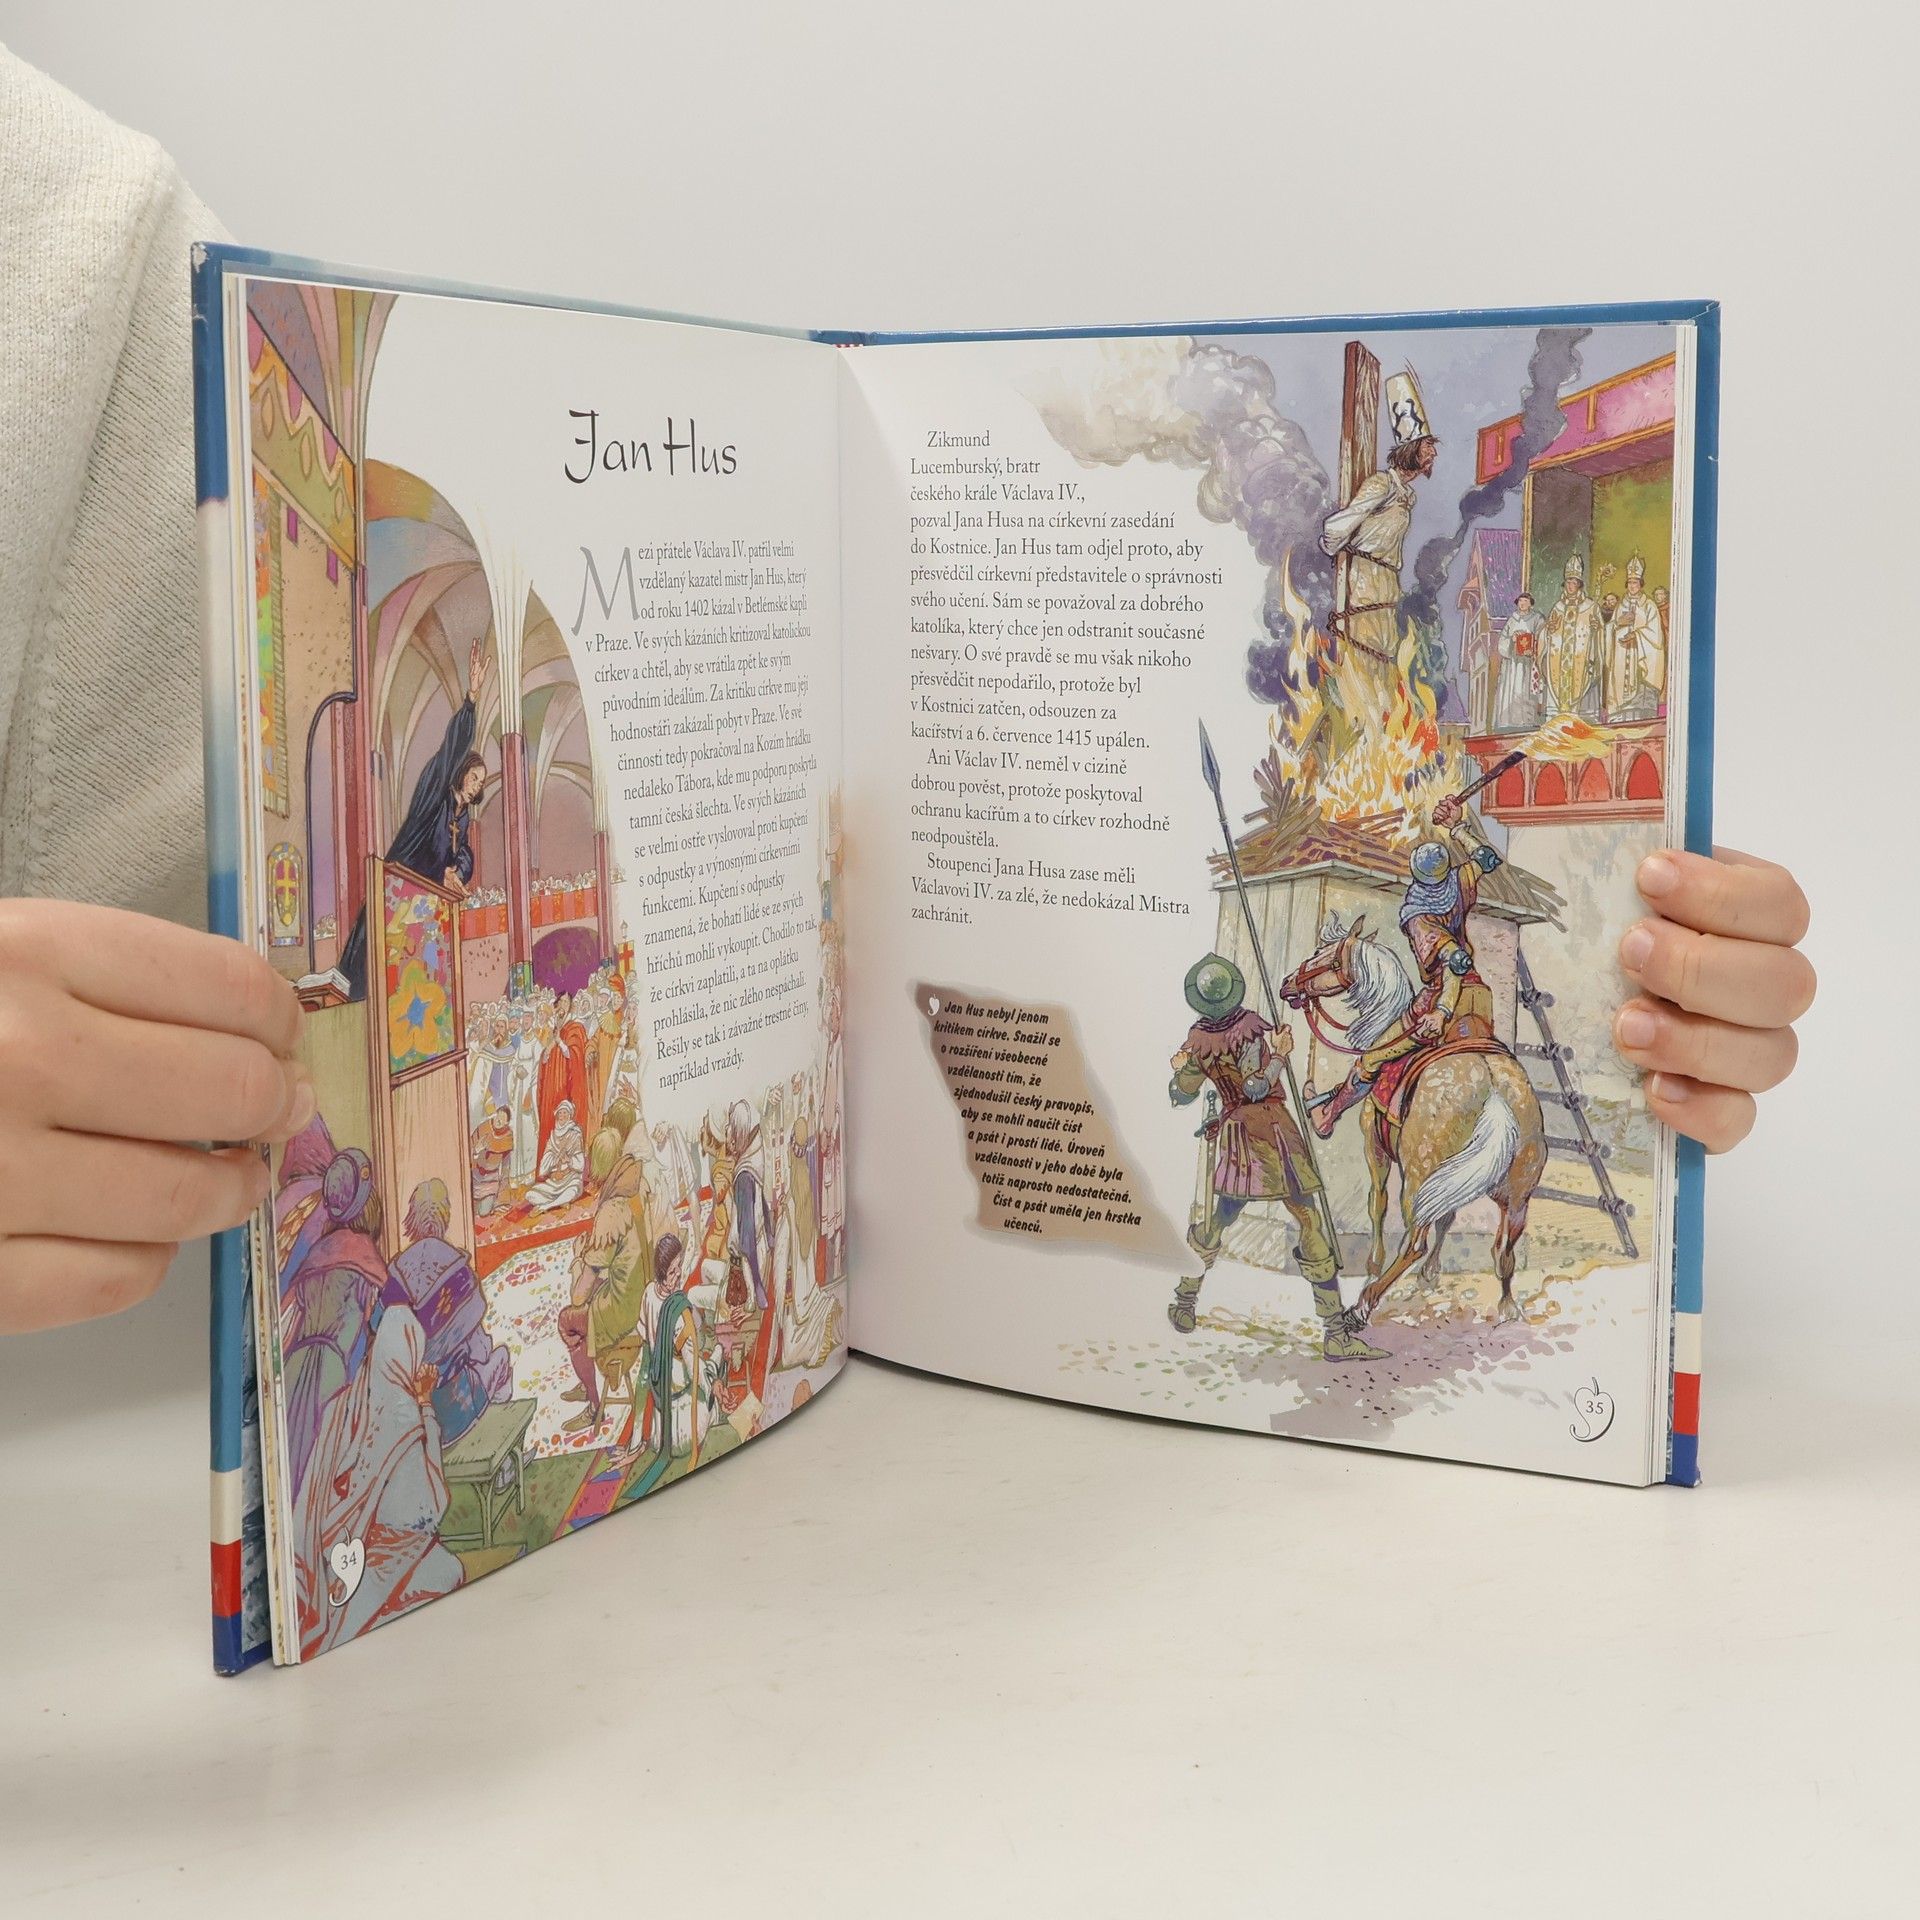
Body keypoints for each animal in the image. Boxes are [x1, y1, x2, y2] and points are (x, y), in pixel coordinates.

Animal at [1278, 912, 1546, 1331]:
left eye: (1322, 955)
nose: (1288, 983)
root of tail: (1494, 1089)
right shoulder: (1456, 1172)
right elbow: (1448, 1213)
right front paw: (1431, 1274)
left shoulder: (1375, 1148)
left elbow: (1377, 1203)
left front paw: (1373, 1266)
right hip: (1516, 1191)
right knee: (1505, 1247)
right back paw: (1506, 1306)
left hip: (1419, 1174)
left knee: (1414, 1238)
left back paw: (1364, 1304)